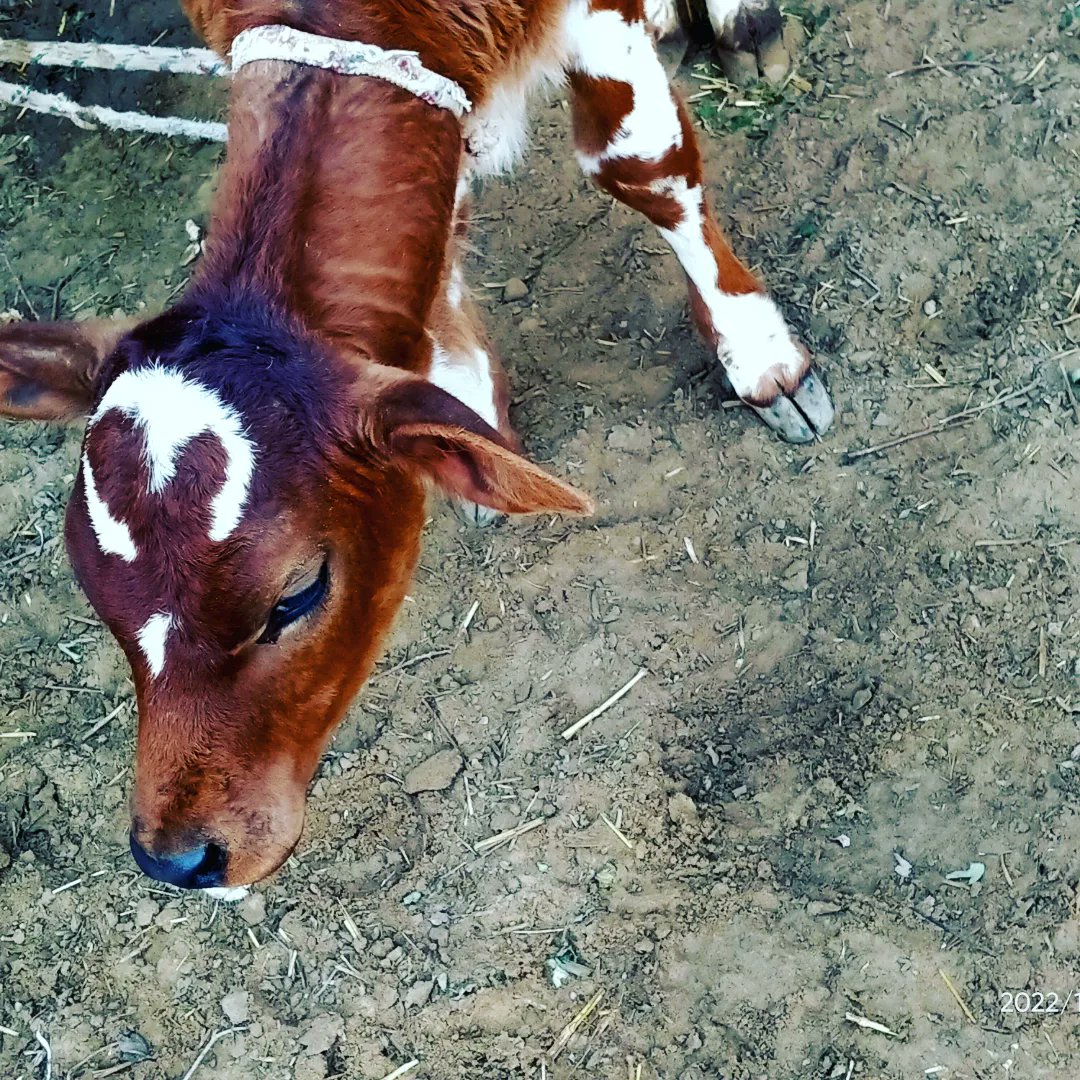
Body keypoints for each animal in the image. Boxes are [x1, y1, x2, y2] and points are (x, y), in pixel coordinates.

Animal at [0, 0, 833, 889]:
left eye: (296, 596)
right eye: (97, 599)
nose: (178, 857)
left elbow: (640, 164)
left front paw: (760, 359)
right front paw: (468, 396)